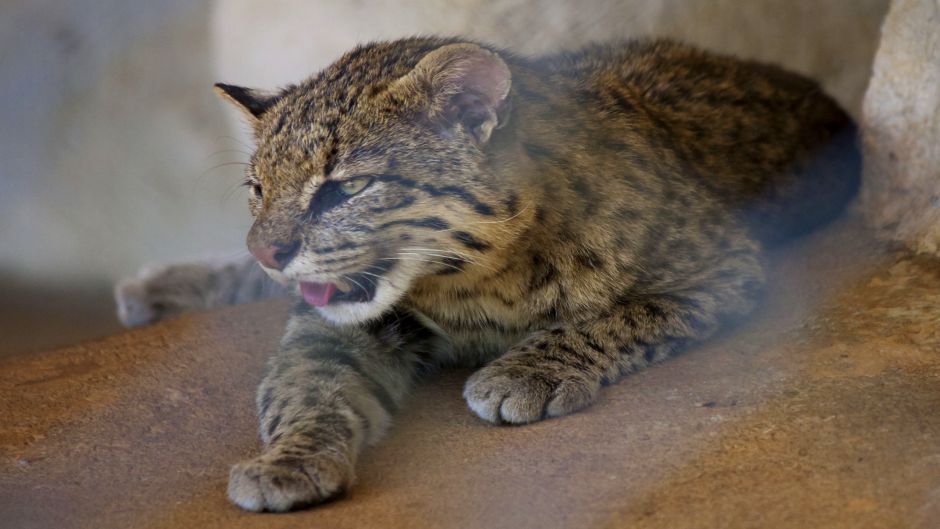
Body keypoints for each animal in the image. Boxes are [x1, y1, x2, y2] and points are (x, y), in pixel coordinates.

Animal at [115, 38, 860, 512]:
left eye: (344, 189)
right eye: (258, 189)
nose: (267, 251)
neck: (472, 275)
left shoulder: (723, 262)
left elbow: (620, 313)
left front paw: (525, 370)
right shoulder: (339, 321)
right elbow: (306, 383)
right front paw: (291, 460)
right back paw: (158, 285)